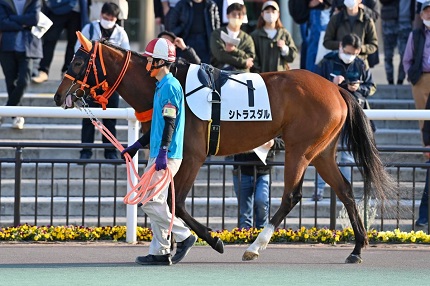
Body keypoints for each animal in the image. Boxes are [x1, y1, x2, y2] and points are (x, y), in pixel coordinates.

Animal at [52, 34, 394, 264]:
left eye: (78, 61)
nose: (58, 96)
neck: (166, 81)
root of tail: (336, 88)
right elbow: (165, 198)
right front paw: (167, 248)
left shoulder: (192, 156)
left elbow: (180, 204)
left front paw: (206, 241)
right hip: (322, 152)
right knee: (345, 189)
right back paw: (357, 248)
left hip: (300, 148)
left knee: (291, 195)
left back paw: (255, 246)